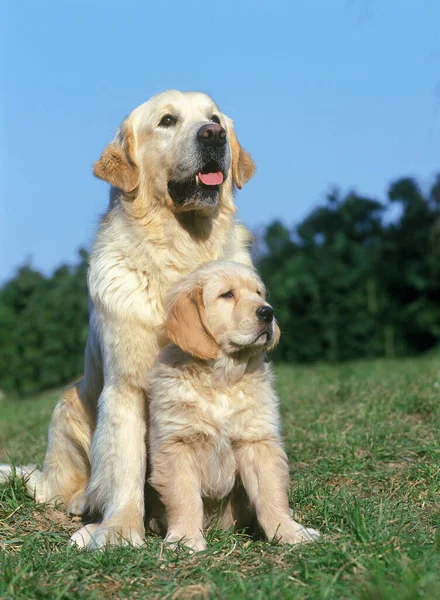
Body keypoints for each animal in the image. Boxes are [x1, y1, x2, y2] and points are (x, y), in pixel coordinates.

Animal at [0, 90, 254, 548]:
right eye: (168, 120)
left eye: (213, 117)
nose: (214, 135)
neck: (180, 251)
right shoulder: (125, 387)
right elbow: (125, 466)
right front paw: (119, 529)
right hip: (68, 405)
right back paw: (82, 501)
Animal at [148, 260, 320, 552]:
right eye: (227, 294)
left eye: (259, 293)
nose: (268, 312)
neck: (222, 379)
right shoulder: (177, 444)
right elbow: (184, 497)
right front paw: (185, 539)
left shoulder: (257, 441)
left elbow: (271, 493)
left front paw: (288, 532)